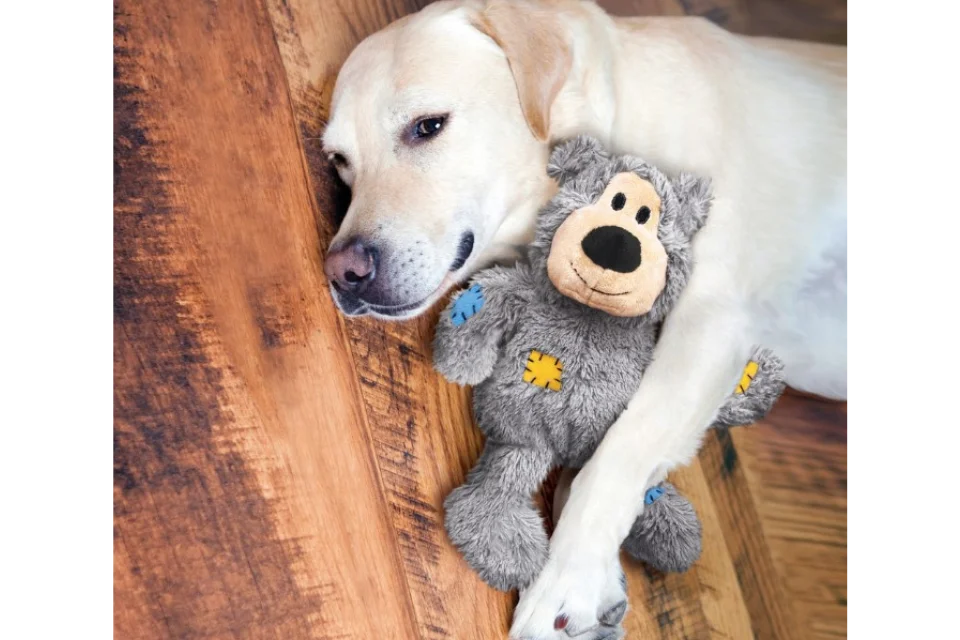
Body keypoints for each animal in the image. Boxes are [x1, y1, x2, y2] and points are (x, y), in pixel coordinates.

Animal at [322, 2, 848, 636]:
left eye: (427, 126)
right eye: (340, 162)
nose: (341, 273)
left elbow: (617, 451)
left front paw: (564, 584)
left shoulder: (714, 316)